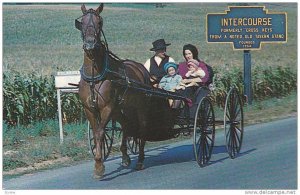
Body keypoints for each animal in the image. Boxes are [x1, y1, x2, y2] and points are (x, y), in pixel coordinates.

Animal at [75, 3, 176, 179]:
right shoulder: (90, 109)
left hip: (139, 107)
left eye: (99, 22)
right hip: (123, 108)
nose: (90, 44)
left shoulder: (107, 107)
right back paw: (125, 157)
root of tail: (141, 69)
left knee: (141, 128)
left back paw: (140, 160)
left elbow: (100, 132)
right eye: (83, 22)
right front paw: (99, 162)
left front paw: (99, 166)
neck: (95, 76)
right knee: (127, 125)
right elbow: (96, 133)